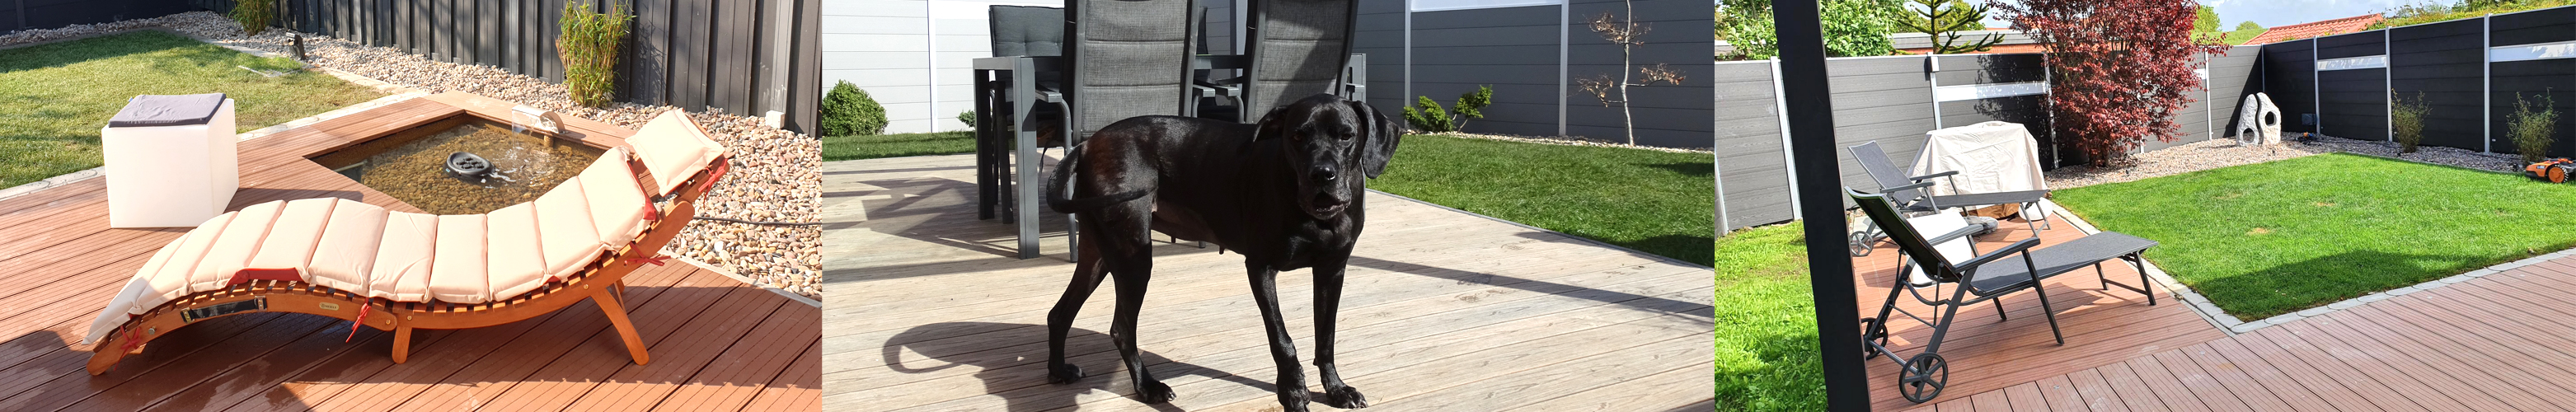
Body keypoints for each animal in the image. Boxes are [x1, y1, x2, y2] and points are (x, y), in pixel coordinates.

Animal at [1045, 95, 1411, 409]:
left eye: (1347, 135)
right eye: (1297, 136)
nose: (1322, 175)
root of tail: (1085, 145)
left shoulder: (1331, 271)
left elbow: (1326, 336)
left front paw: (1336, 389)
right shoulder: (1261, 268)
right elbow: (1282, 339)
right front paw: (1293, 390)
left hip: (1099, 253)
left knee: (1060, 313)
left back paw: (1059, 370)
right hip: (1133, 256)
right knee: (1121, 328)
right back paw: (1147, 387)